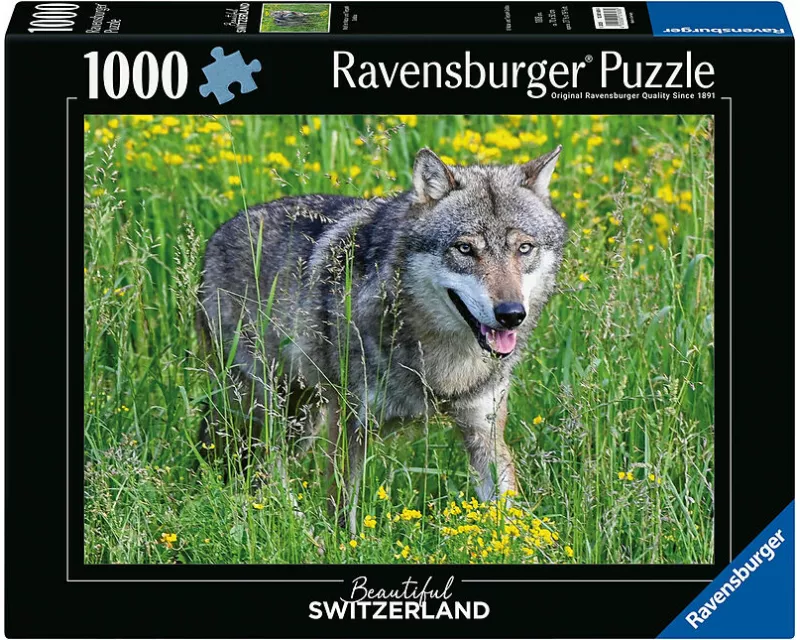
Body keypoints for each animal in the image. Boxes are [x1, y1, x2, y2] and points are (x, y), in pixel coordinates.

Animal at [197, 146, 567, 531]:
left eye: (524, 248)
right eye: (465, 249)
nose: (511, 314)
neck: (443, 362)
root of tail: (218, 235)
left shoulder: (485, 431)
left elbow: (508, 516)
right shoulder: (349, 424)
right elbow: (341, 508)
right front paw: (340, 541)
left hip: (302, 420)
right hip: (267, 409)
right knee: (264, 468)